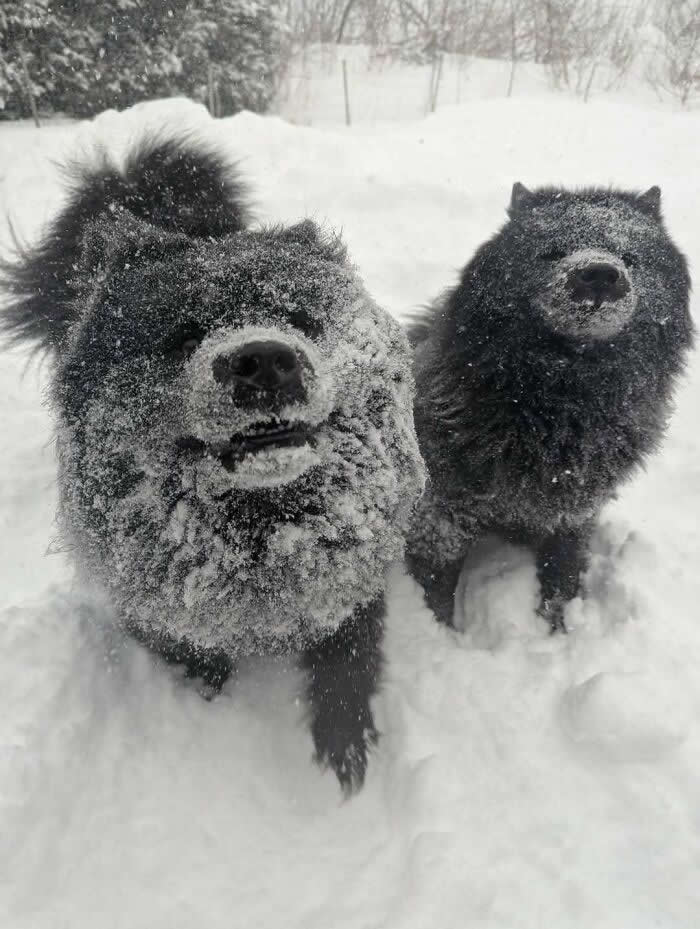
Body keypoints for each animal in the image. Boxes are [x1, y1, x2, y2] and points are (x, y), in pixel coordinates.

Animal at [1, 135, 426, 793]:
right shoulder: (149, 601)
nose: (265, 358)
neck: (262, 531)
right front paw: (205, 698)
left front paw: (344, 747)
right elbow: (192, 653)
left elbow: (346, 665)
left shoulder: (351, 586)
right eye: (184, 335)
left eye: (300, 320)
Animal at [406, 182, 694, 632]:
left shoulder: (573, 515)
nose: (600, 273)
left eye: (630, 257)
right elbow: (435, 593)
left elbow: (563, 580)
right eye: (553, 252)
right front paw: (439, 638)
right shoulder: (441, 512)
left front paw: (557, 630)